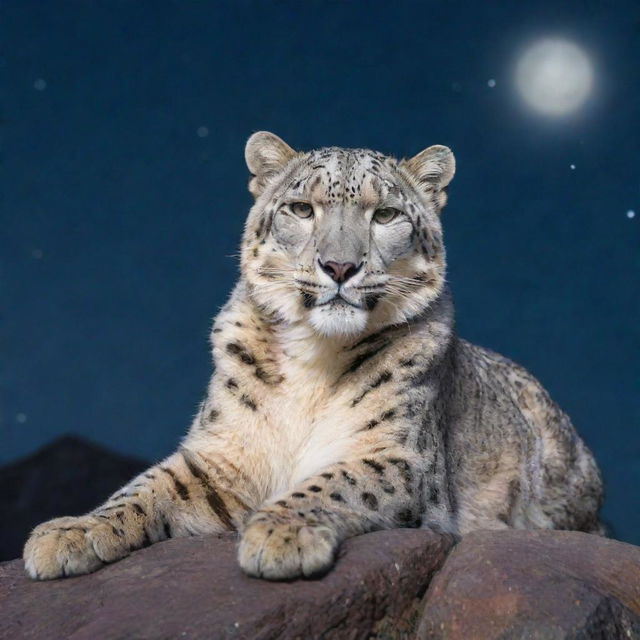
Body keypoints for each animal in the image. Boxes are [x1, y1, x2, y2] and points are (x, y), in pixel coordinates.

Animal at [22, 130, 604, 580]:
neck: (313, 360)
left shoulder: (400, 458)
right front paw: (67, 532)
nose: (339, 266)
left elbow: (334, 483)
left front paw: (280, 535)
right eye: (301, 208)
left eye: (385, 213)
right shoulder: (222, 454)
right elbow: (145, 487)